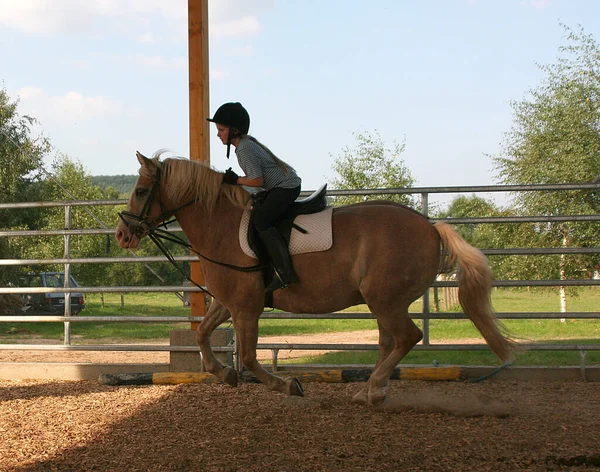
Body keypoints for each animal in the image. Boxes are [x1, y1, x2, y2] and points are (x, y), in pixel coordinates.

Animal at [115, 151, 516, 406]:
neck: (222, 226)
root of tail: (430, 227)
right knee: (390, 343)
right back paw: (370, 390)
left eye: (140, 191)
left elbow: (250, 357)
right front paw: (224, 374)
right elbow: (201, 335)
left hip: (385, 300)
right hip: (386, 303)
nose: (122, 234)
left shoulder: (246, 307)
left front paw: (287, 385)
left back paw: (373, 388)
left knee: (407, 338)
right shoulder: (230, 302)